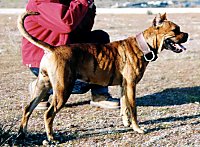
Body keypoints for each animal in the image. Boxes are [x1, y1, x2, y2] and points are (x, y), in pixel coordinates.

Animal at [16, 11, 188, 145]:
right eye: (176, 30)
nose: (187, 34)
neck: (143, 45)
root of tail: (52, 49)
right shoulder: (131, 86)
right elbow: (133, 109)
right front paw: (137, 128)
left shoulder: (124, 86)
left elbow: (124, 107)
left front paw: (126, 123)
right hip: (63, 89)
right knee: (48, 114)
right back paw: (51, 138)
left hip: (42, 86)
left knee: (28, 108)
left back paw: (21, 134)